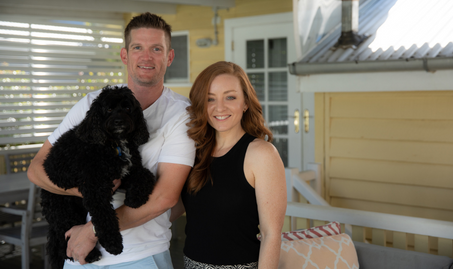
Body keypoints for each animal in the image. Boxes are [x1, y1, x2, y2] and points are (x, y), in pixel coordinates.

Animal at [41, 85, 156, 266]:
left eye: (127, 108)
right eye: (109, 109)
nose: (119, 121)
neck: (114, 143)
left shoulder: (124, 174)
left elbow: (146, 174)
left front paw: (135, 198)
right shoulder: (95, 187)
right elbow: (104, 215)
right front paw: (113, 243)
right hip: (63, 209)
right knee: (64, 237)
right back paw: (91, 254)